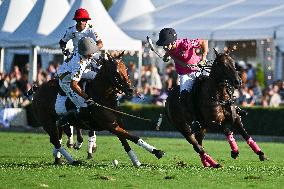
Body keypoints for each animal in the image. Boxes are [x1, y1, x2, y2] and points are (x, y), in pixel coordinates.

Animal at [31, 51, 164, 165]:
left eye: (126, 68)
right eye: (116, 72)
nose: (130, 90)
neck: (102, 96)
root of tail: (37, 89)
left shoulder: (117, 123)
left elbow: (125, 141)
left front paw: (136, 161)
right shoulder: (110, 125)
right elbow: (132, 137)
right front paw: (157, 152)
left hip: (56, 123)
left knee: (57, 139)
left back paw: (59, 159)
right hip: (47, 122)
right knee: (55, 141)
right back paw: (72, 160)